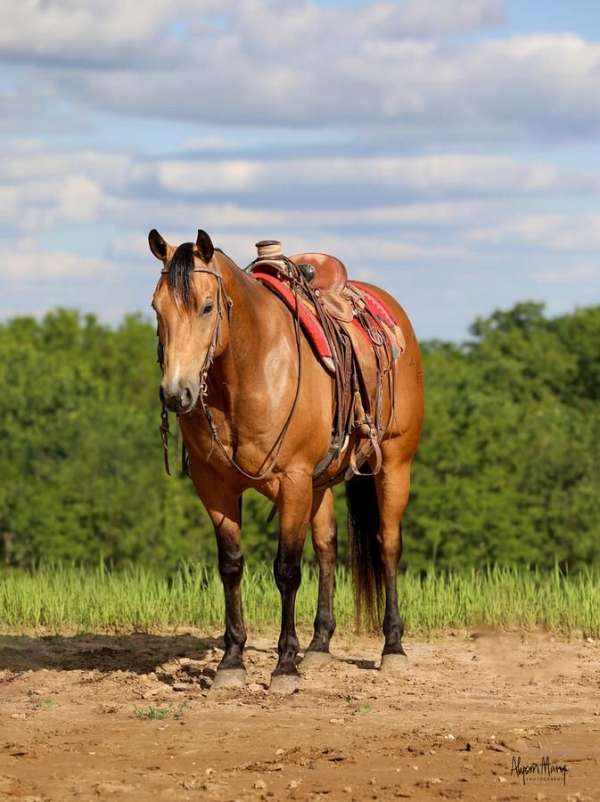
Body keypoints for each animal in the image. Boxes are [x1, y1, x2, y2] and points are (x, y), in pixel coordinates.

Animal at [148, 228, 424, 692]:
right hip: (320, 482)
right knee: (328, 547)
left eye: (206, 306)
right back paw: (320, 645)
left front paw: (284, 666)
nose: (176, 393)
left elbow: (287, 570)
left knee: (387, 544)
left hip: (393, 465)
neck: (249, 369)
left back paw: (393, 648)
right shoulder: (215, 485)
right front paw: (232, 661)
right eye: (156, 308)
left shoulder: (292, 481)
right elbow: (231, 566)